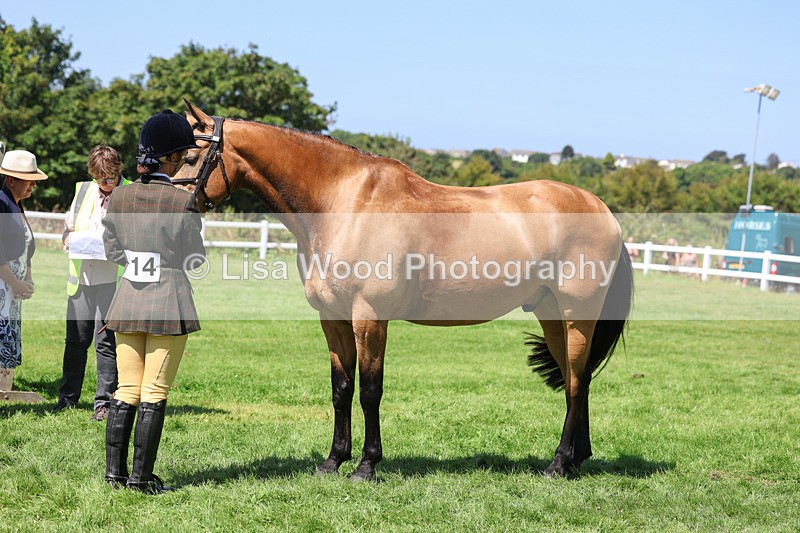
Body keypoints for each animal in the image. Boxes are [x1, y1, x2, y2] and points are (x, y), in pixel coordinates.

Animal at [174, 100, 634, 481]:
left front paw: (366, 466)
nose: (172, 209)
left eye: (193, 157)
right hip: (553, 316)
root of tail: (602, 210)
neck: (345, 205)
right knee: (579, 380)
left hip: (577, 316)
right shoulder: (333, 319)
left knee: (575, 383)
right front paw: (332, 461)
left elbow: (370, 391)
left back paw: (558, 464)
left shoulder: (369, 318)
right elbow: (341, 389)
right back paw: (577, 459)